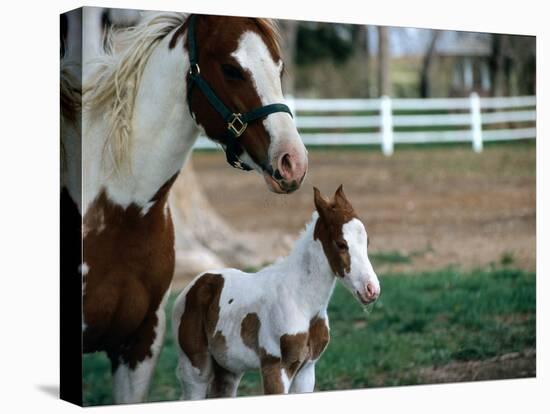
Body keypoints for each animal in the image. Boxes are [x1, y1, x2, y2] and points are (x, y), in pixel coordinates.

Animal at [171, 185, 380, 398]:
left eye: (367, 242)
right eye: (341, 244)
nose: (371, 289)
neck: (301, 301)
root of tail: (194, 285)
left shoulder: (307, 370)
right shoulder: (275, 367)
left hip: (228, 368)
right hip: (195, 368)